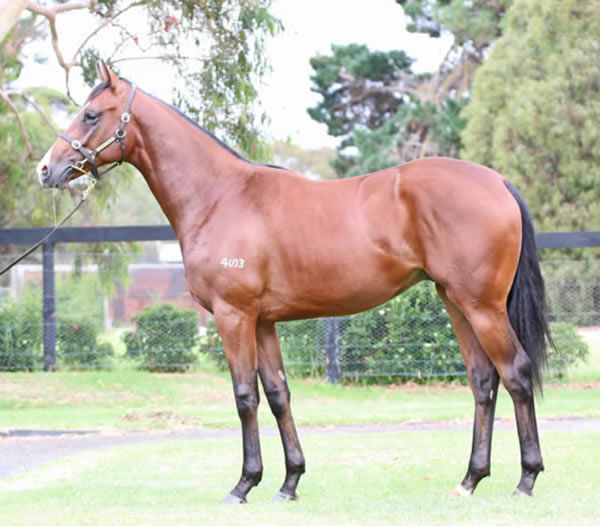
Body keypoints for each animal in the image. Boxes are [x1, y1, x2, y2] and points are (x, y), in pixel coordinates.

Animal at [36, 62, 552, 504]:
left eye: (90, 114)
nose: (46, 168)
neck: (220, 196)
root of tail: (498, 182)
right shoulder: (263, 322)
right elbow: (278, 395)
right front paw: (289, 482)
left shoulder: (233, 316)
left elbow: (245, 397)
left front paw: (243, 484)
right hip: (455, 301)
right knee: (483, 380)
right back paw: (470, 479)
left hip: (482, 305)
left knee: (516, 372)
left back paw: (526, 479)